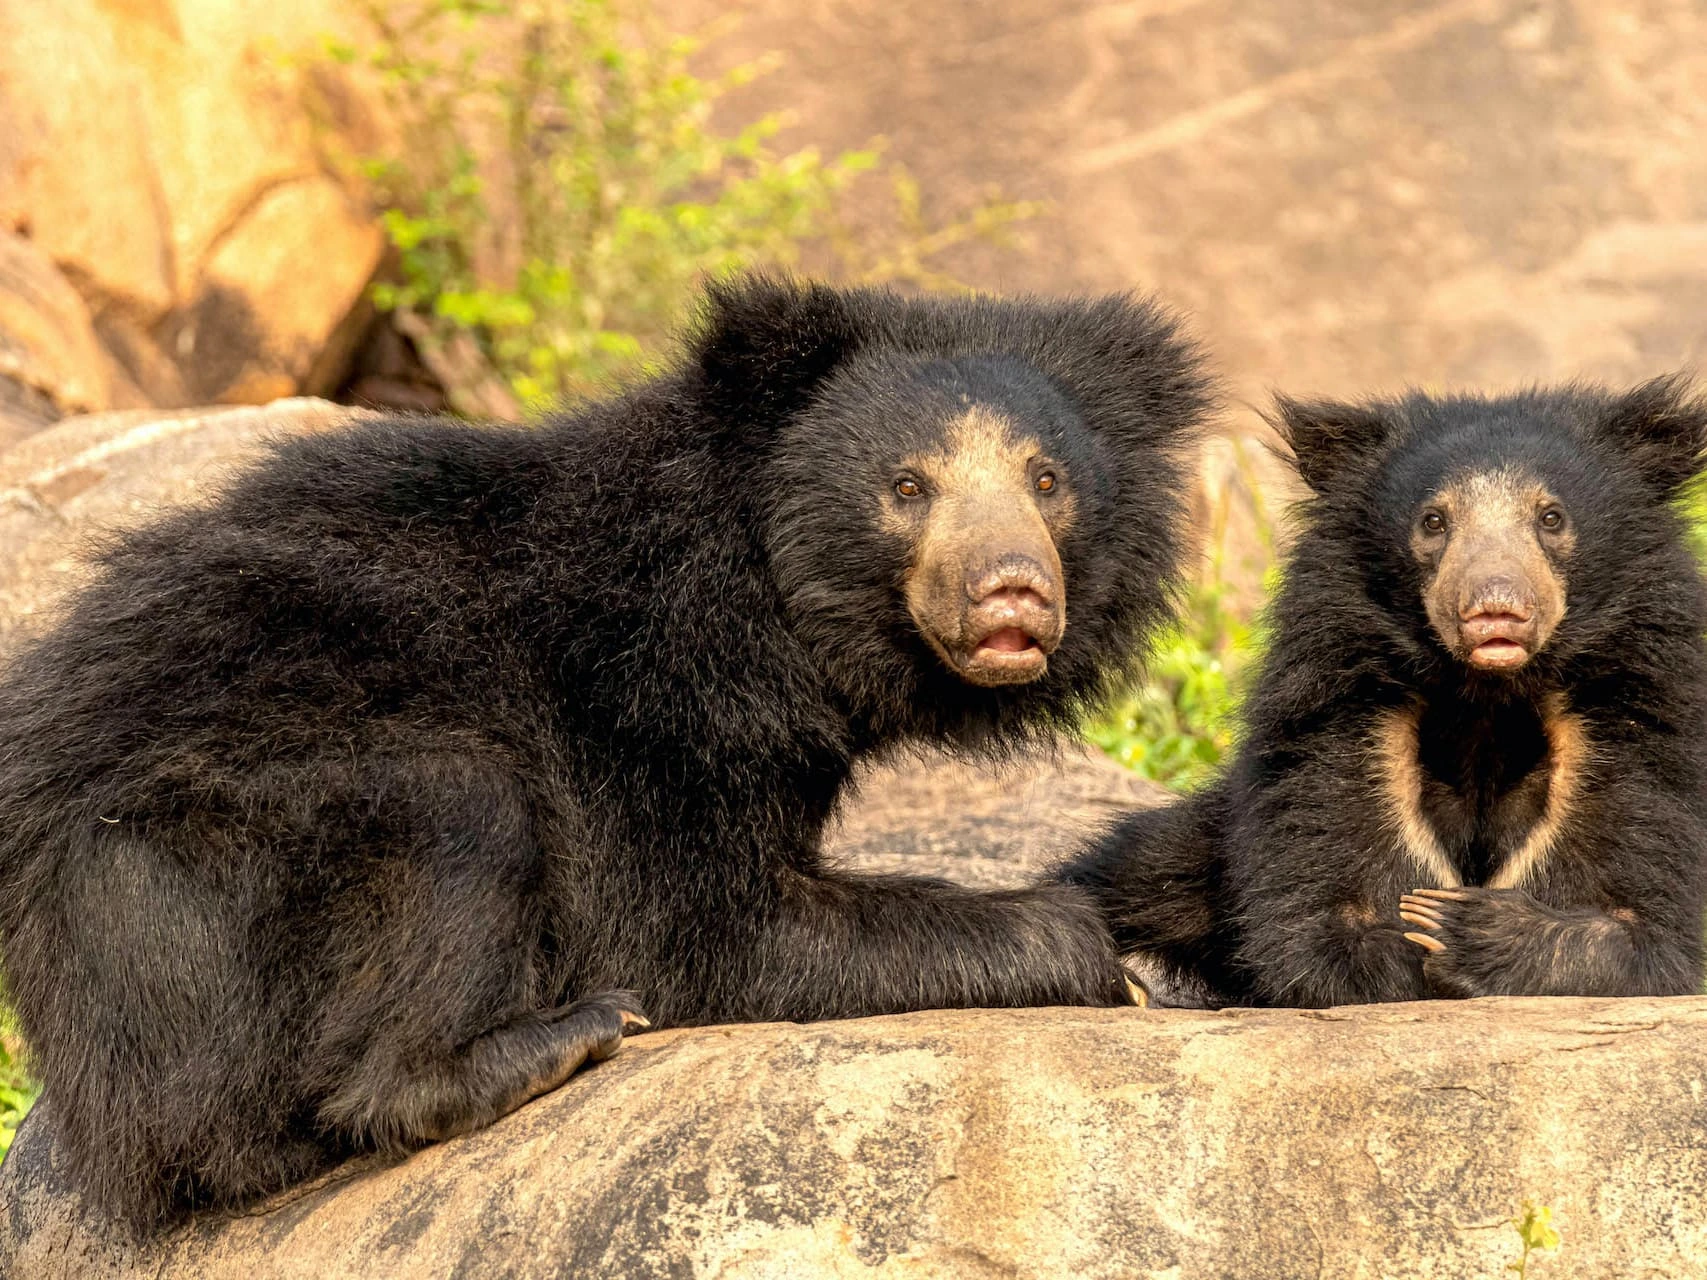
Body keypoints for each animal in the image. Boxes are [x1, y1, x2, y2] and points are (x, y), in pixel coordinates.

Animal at [0, 276, 1215, 1228]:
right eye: (907, 486)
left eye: (1047, 480)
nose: (1012, 591)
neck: (761, 595)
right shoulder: (651, 700)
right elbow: (702, 934)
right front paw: (1094, 949)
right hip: (211, 866)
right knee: (460, 817)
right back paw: (555, 1037)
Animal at [1065, 378, 1707, 1010]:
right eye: (1433, 521)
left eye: (1551, 517)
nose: (1495, 607)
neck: (1487, 697)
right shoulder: (1342, 720)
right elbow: (1316, 922)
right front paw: (1422, 926)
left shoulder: (1630, 727)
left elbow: (1648, 921)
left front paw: (1462, 928)